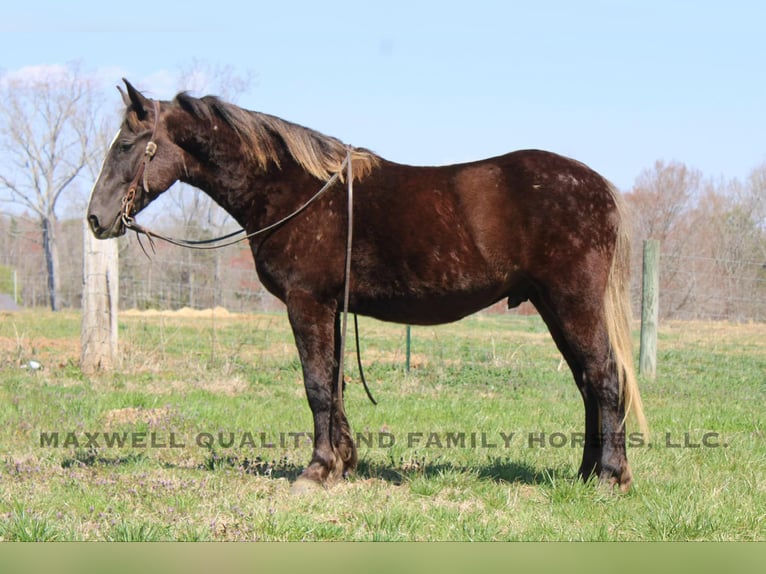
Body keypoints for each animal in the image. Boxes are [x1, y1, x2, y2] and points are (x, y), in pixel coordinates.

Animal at [87, 79, 647, 493]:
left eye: (127, 145)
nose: (95, 218)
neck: (296, 191)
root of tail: (598, 186)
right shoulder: (329, 307)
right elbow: (334, 383)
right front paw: (343, 461)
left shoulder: (307, 303)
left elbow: (316, 385)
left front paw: (316, 470)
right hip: (554, 306)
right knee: (588, 383)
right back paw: (584, 474)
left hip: (573, 303)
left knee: (604, 378)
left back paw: (610, 477)